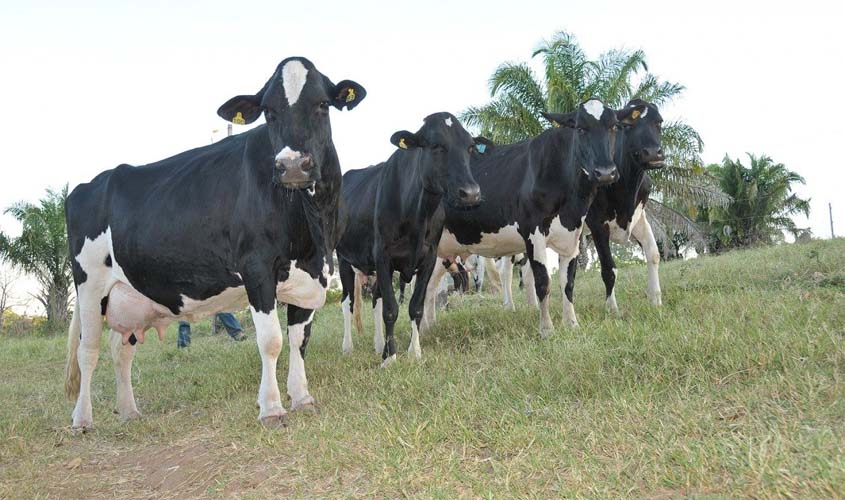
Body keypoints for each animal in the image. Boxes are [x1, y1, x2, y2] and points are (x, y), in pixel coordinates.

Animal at [64, 55, 368, 430]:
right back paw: (82, 419)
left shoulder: (314, 272)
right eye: (268, 112)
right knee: (88, 350)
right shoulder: (256, 267)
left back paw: (129, 410)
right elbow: (271, 340)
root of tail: (87, 185)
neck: (312, 225)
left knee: (121, 348)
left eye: (324, 104)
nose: (293, 165)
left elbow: (299, 339)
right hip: (90, 284)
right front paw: (271, 408)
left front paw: (302, 397)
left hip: (129, 293)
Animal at [336, 112, 482, 364]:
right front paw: (390, 358)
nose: (471, 193)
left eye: (470, 147)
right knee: (348, 303)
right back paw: (348, 347)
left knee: (376, 299)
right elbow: (391, 309)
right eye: (436, 145)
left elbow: (415, 307)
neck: (418, 215)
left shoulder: (428, 257)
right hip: (343, 258)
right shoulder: (382, 254)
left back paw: (378, 344)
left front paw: (414, 352)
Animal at [426, 99, 616, 338]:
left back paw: (429, 326)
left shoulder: (572, 234)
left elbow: (568, 283)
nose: (606, 172)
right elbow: (543, 282)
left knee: (430, 287)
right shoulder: (532, 231)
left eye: (613, 126)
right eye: (581, 128)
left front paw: (572, 323)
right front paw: (546, 329)